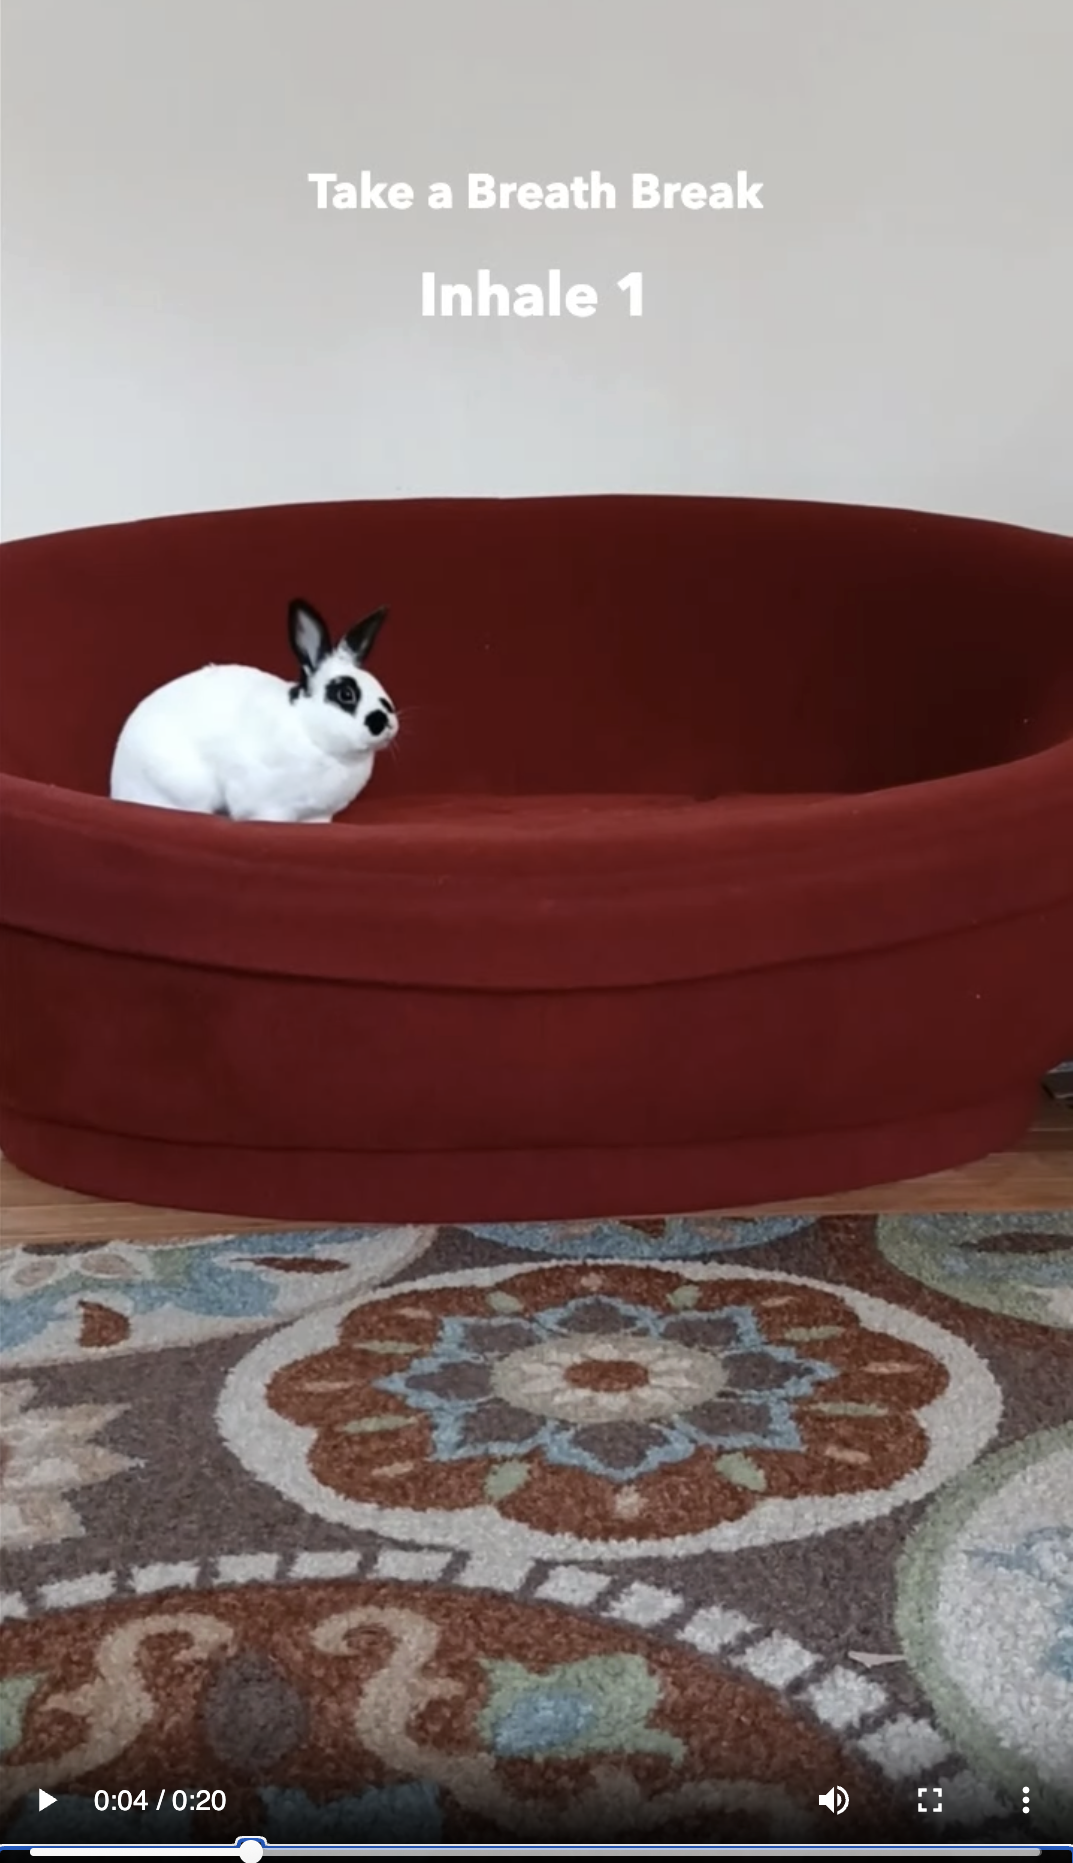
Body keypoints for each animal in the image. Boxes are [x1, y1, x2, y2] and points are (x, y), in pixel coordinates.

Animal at [109, 599, 398, 823]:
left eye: (378, 686)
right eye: (345, 694)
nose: (384, 722)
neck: (311, 734)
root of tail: (118, 787)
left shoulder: (319, 815)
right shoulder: (269, 805)